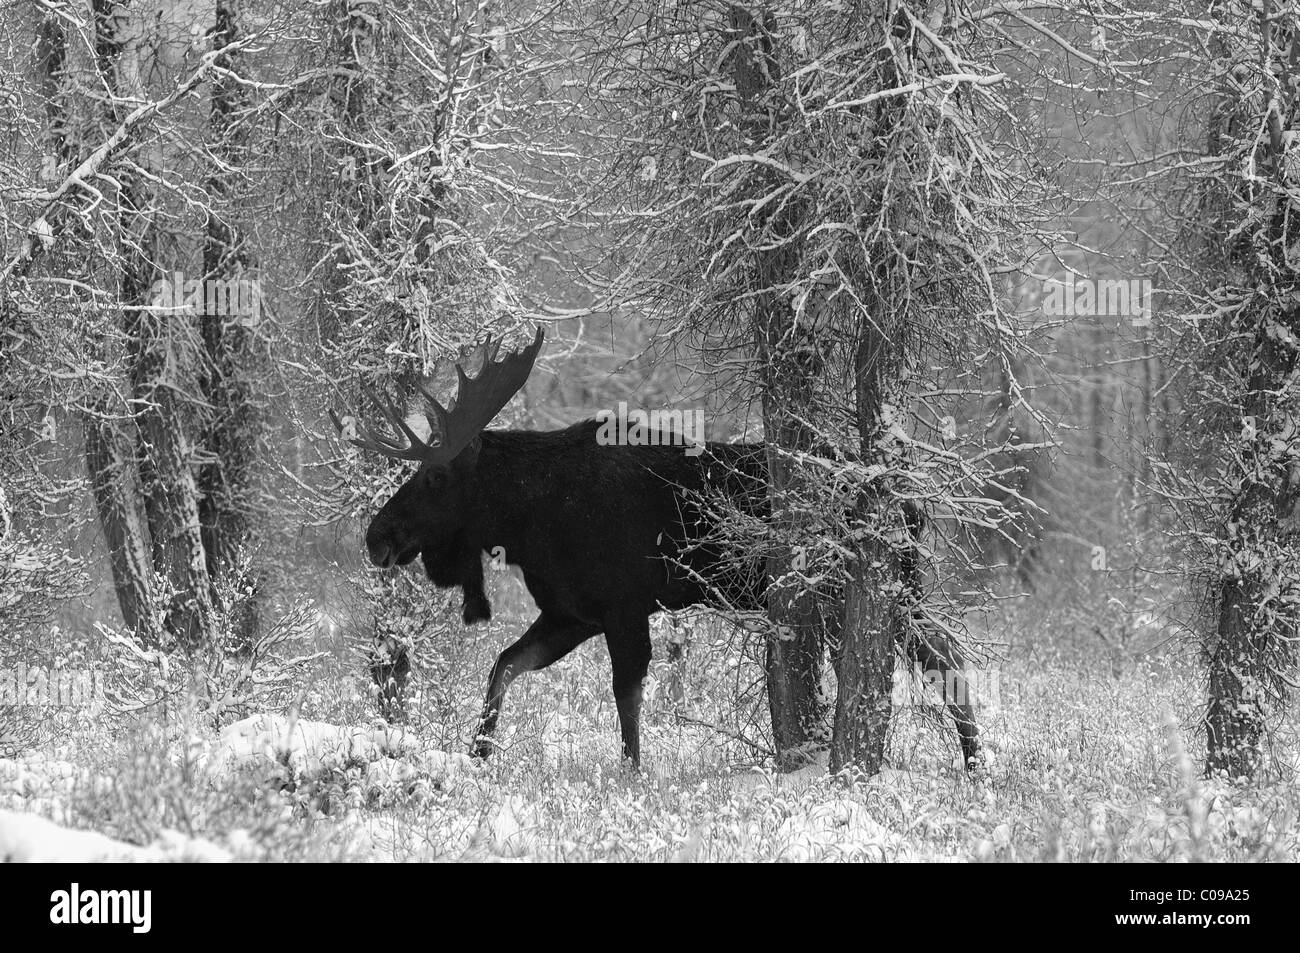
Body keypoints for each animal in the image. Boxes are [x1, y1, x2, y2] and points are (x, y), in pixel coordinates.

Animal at [335, 327, 977, 764]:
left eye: (434, 476)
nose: (377, 536)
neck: (529, 523)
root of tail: (914, 506)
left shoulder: (623, 608)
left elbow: (628, 705)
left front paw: (632, 776)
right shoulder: (571, 613)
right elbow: (504, 666)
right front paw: (478, 754)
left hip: (877, 585)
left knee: (945, 656)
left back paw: (975, 764)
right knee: (940, 655)